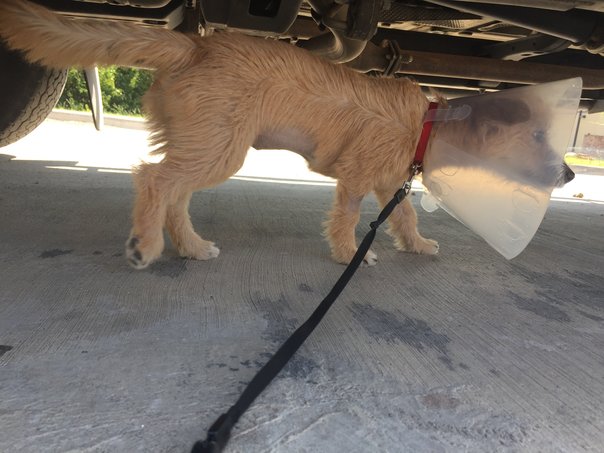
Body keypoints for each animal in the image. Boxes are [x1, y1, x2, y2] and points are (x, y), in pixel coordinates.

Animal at [0, 0, 574, 269]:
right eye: (538, 139)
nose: (569, 174)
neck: (427, 124)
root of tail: (194, 46)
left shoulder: (389, 185)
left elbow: (406, 217)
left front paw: (416, 244)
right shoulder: (357, 181)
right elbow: (347, 220)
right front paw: (348, 257)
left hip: (206, 143)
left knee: (173, 190)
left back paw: (191, 247)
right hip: (220, 149)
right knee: (154, 180)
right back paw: (147, 244)